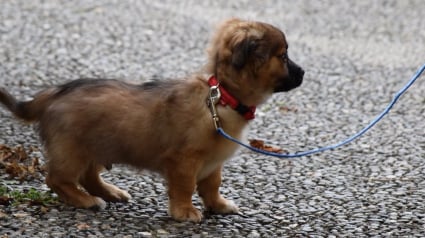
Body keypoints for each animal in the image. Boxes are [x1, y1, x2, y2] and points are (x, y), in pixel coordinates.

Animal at [0, 18, 304, 221]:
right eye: (283, 56)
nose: (303, 73)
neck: (222, 97)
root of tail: (51, 94)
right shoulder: (184, 161)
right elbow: (186, 186)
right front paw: (184, 212)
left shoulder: (212, 163)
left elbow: (212, 185)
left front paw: (218, 205)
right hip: (72, 151)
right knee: (57, 179)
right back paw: (86, 201)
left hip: (97, 146)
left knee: (88, 176)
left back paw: (110, 192)